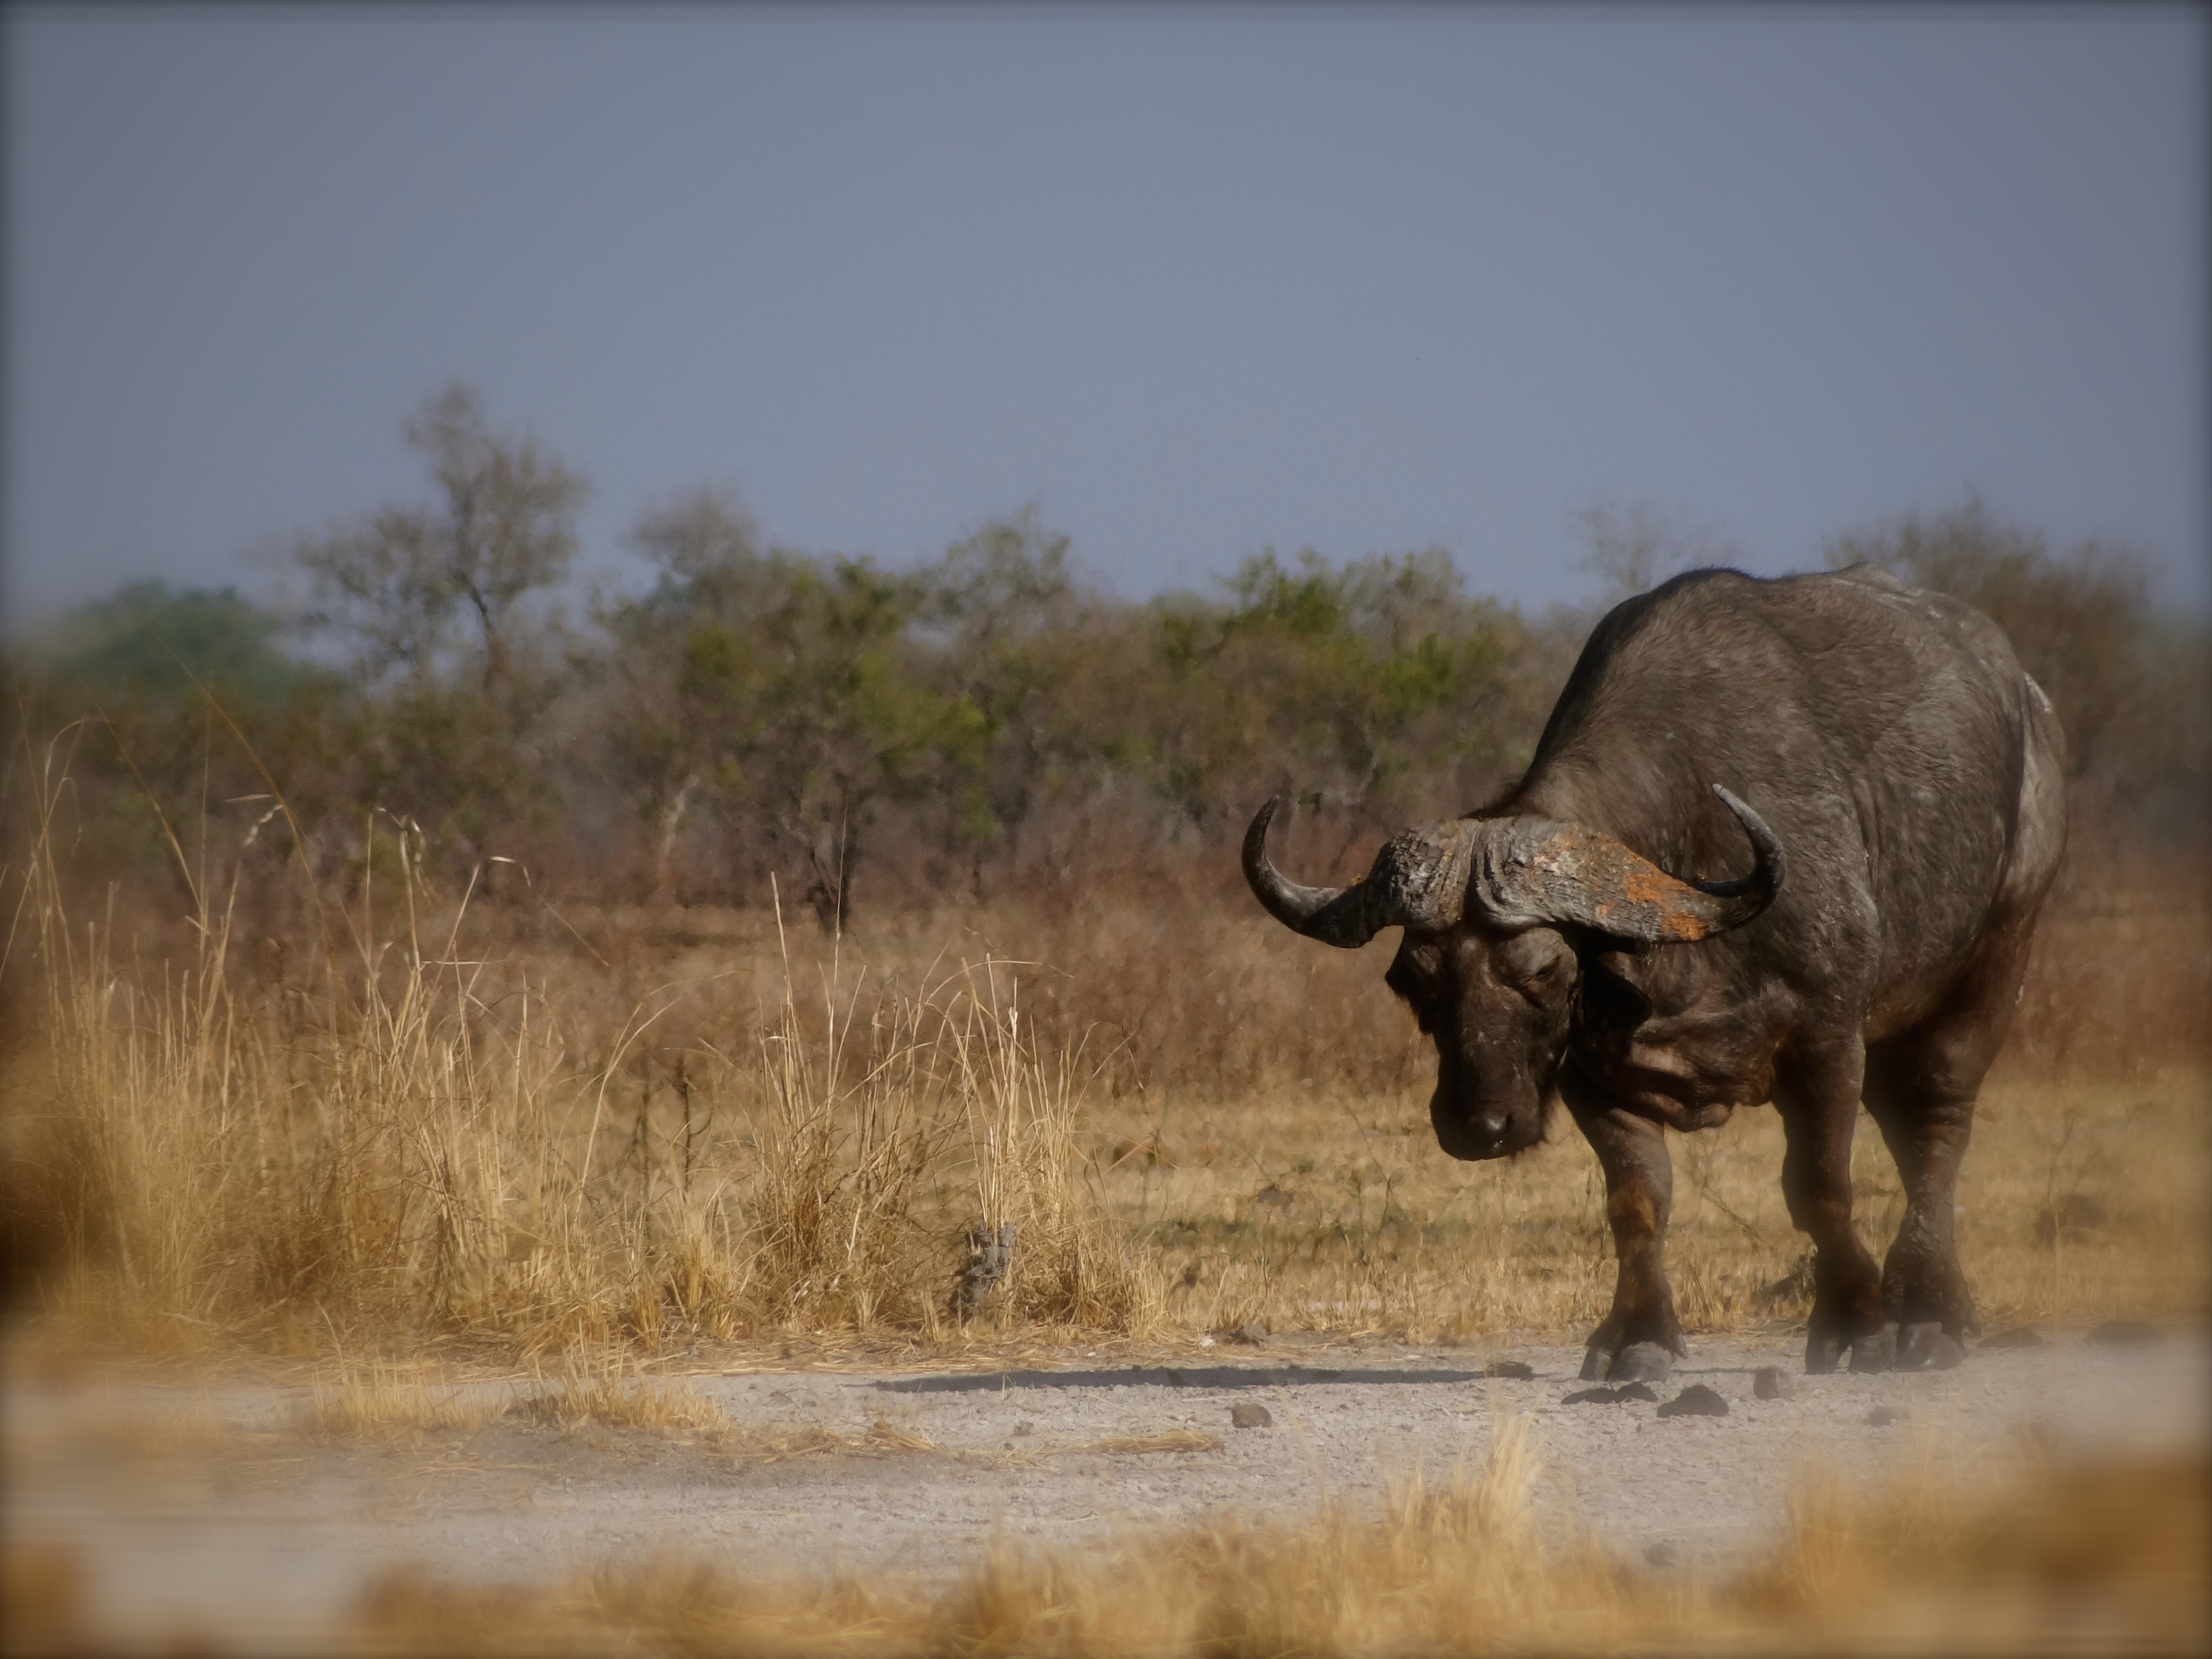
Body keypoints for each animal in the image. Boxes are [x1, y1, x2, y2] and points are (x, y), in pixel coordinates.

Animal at [1239, 571, 2062, 1380]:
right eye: (1413, 983)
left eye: (1545, 971)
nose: (1479, 1127)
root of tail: (2030, 702)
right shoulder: (1593, 1071)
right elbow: (1637, 1200)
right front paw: (1639, 1338)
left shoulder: (1828, 1037)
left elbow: (1821, 1189)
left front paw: (1856, 1323)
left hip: (1996, 957)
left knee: (1935, 1128)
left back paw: (1929, 1316)